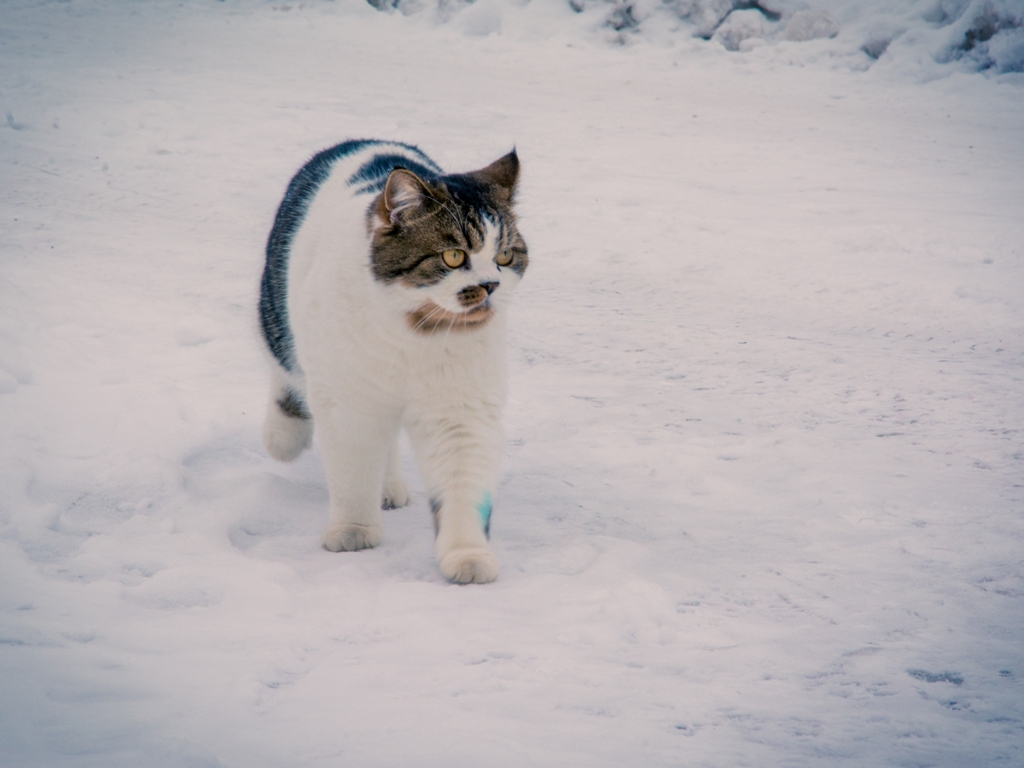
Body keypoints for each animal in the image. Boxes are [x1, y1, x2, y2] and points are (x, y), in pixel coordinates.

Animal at [256, 140, 528, 581]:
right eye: (455, 256)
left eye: (504, 256)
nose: (491, 285)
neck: (415, 334)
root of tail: (360, 141)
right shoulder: (347, 403)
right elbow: (351, 472)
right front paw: (352, 530)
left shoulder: (460, 410)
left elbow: (462, 484)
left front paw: (468, 556)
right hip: (279, 311)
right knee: (285, 368)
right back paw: (283, 435)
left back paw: (388, 487)